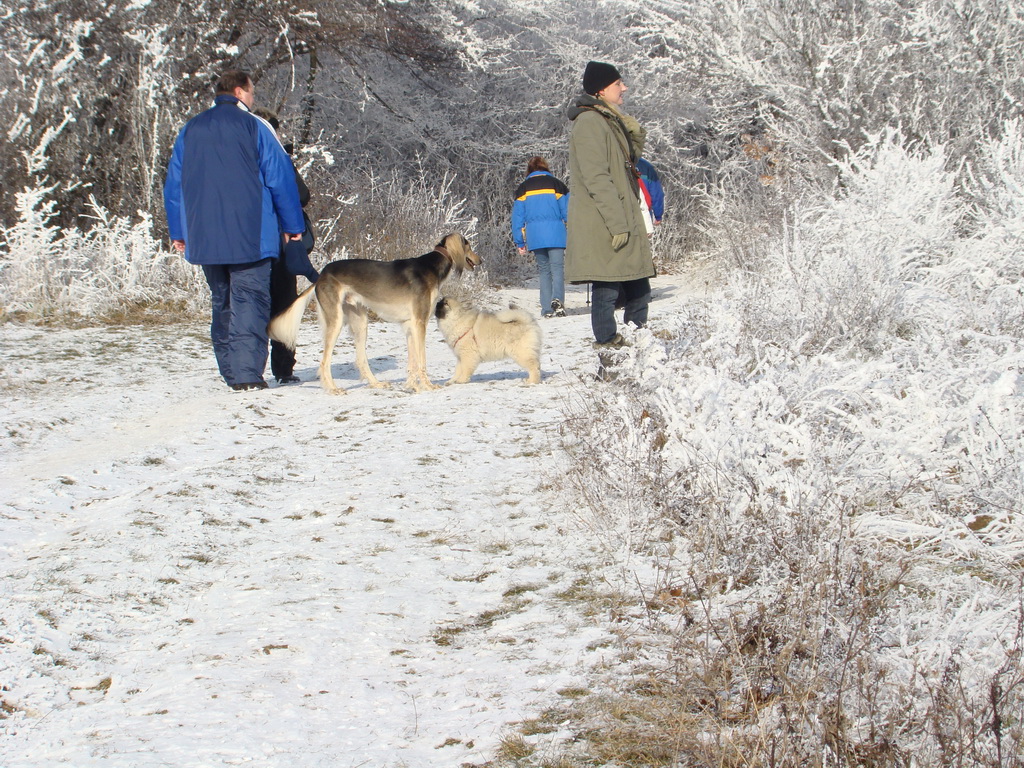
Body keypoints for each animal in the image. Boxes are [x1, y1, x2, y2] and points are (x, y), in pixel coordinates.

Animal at [270, 233, 481, 391]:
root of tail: (322, 275)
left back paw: (376, 384)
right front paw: (428, 386)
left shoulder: (410, 326)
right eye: (469, 245)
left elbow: (412, 362)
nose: (480, 260)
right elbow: (421, 360)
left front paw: (411, 385)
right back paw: (333, 389)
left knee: (361, 360)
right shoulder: (420, 323)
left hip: (360, 322)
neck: (431, 268)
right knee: (324, 362)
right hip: (336, 321)